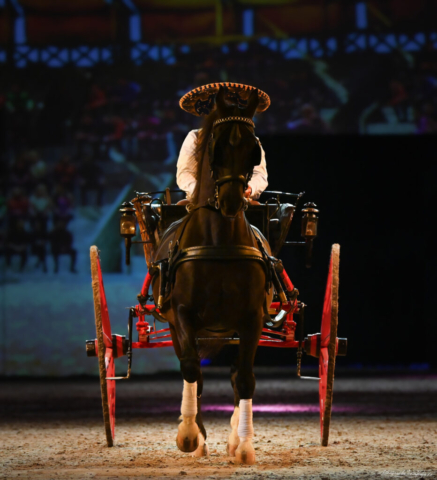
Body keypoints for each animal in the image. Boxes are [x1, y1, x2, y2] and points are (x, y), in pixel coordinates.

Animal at [152, 87, 270, 464]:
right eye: (215, 147)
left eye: (254, 150)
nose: (232, 201)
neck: (219, 242)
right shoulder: (183, 315)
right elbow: (192, 369)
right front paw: (190, 435)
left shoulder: (251, 319)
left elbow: (244, 379)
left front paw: (243, 445)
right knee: (194, 371)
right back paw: (199, 437)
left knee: (234, 375)